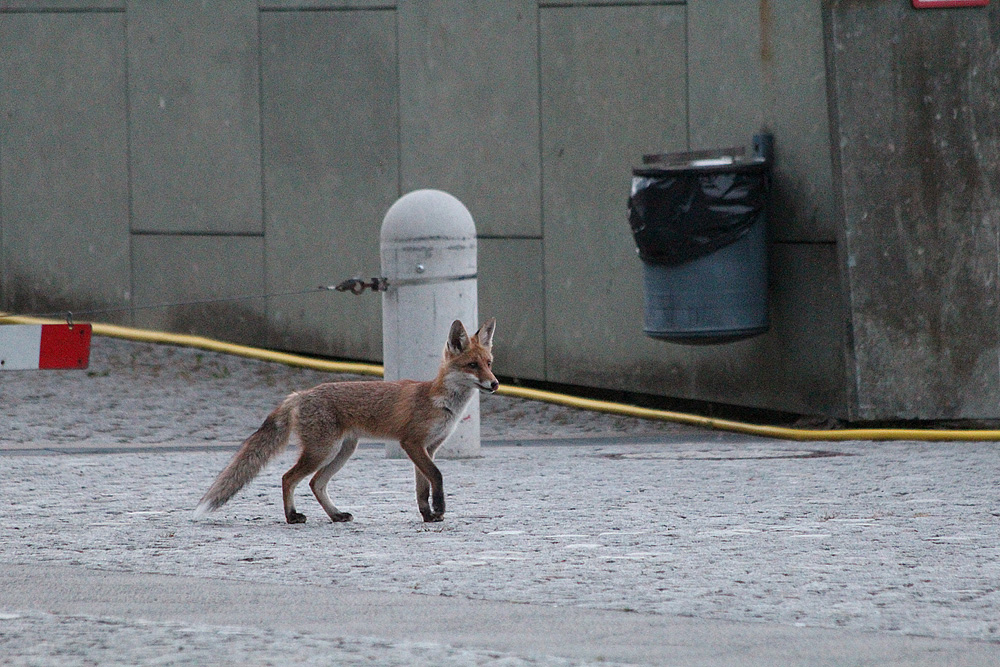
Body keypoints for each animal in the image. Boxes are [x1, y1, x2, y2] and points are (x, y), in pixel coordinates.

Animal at [193, 320, 498, 524]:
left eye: (489, 363)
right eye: (472, 365)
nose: (495, 384)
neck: (440, 401)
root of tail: (300, 394)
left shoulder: (428, 448)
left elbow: (421, 486)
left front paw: (428, 514)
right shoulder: (411, 443)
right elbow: (437, 476)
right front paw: (439, 508)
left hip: (343, 451)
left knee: (315, 483)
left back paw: (336, 515)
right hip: (322, 451)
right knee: (288, 478)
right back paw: (292, 516)